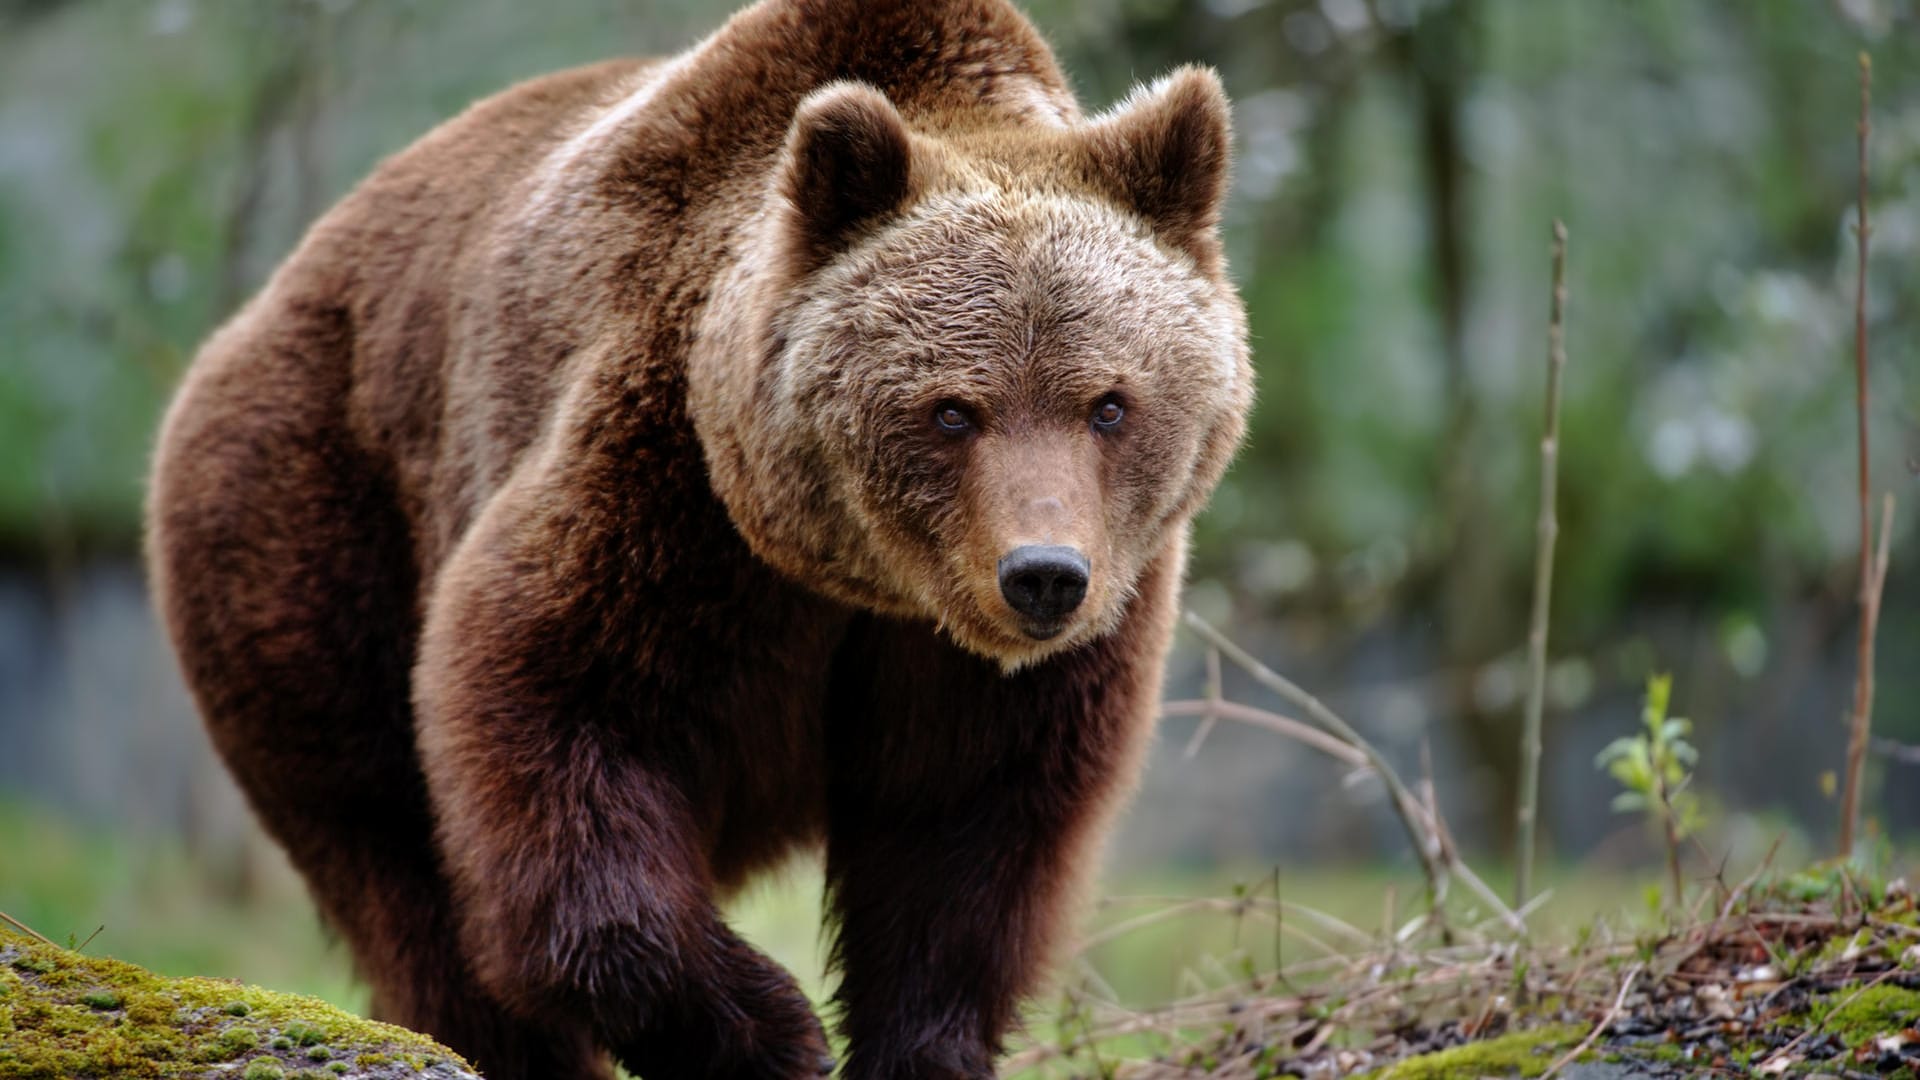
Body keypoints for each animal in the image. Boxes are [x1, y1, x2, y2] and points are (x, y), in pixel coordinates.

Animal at [149, 0, 1251, 1068]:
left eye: (1109, 404)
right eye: (951, 410)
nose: (1043, 576)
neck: (857, 579)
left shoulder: (1014, 650)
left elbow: (965, 827)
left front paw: (917, 1045)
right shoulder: (666, 487)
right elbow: (556, 709)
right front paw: (769, 1028)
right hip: (313, 518)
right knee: (390, 845)